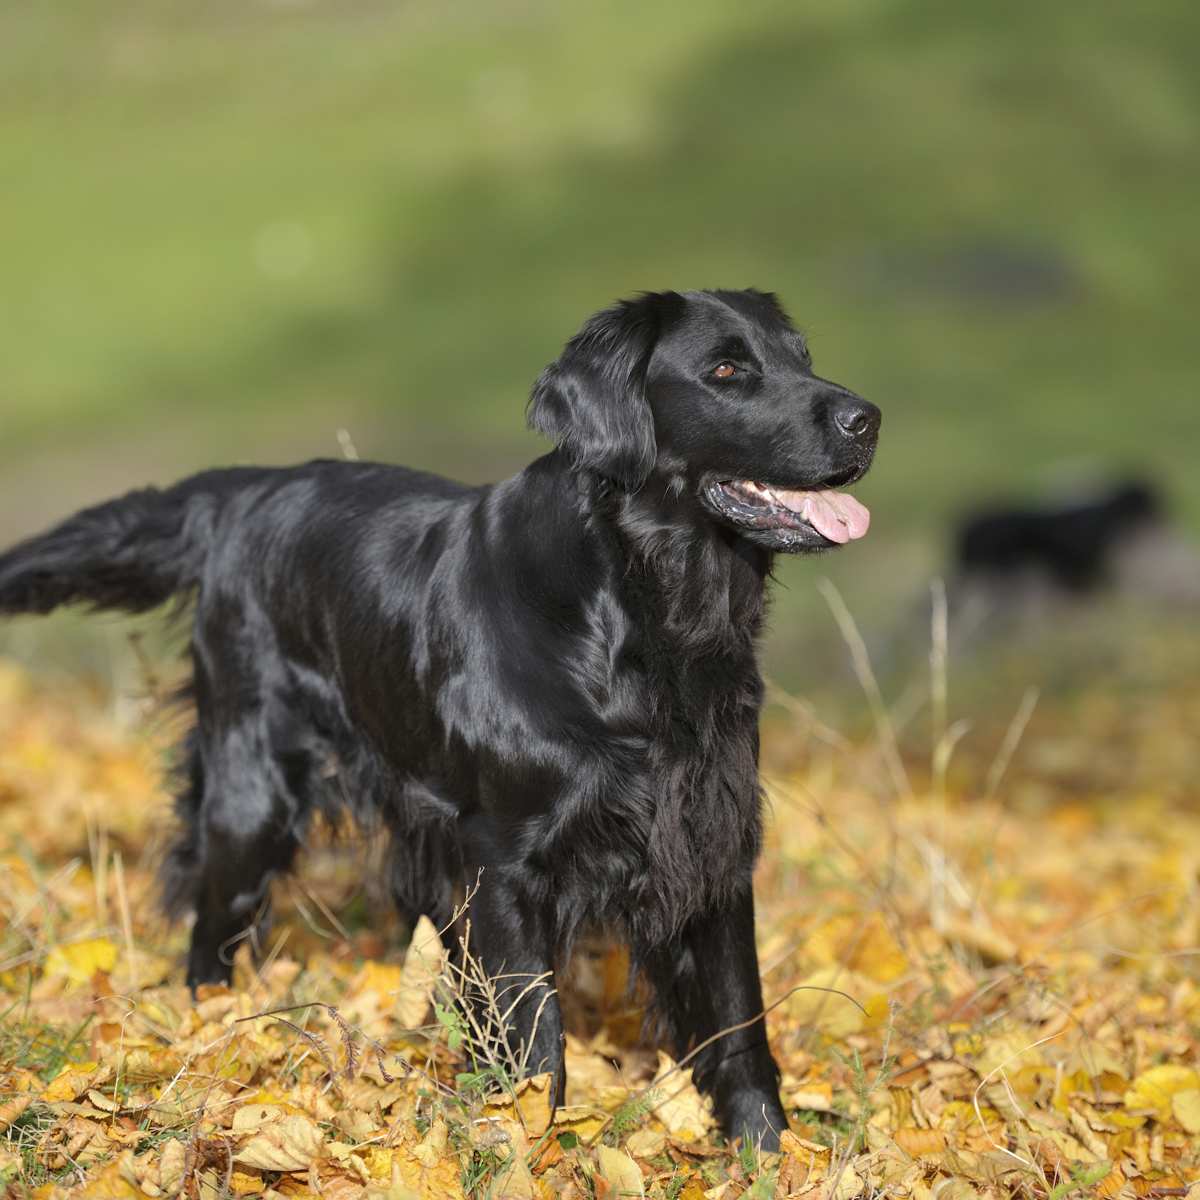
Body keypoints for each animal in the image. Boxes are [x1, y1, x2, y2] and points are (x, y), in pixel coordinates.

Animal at [0, 288, 883, 1142]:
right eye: (728, 371)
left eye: (802, 357)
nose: (867, 417)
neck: (641, 615)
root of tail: (241, 493)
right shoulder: (505, 862)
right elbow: (537, 1041)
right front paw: (530, 1150)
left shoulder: (710, 840)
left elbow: (740, 1026)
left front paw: (767, 1155)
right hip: (253, 795)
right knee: (209, 930)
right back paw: (208, 1029)